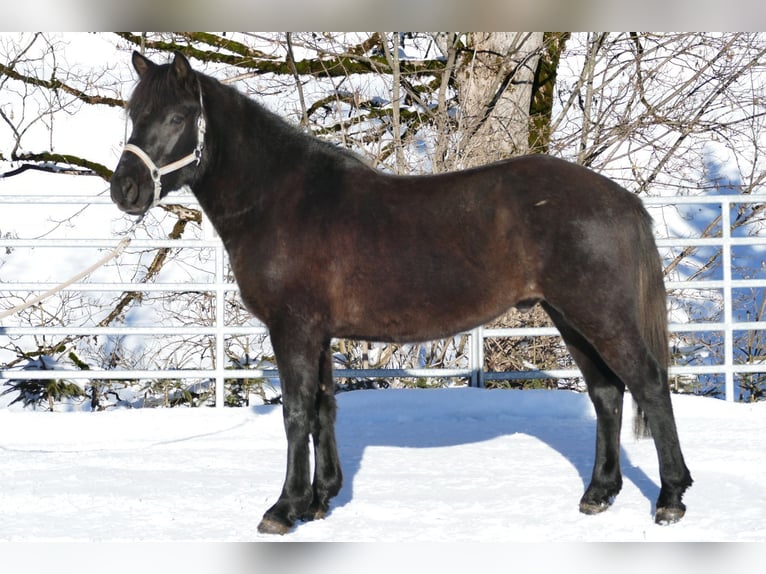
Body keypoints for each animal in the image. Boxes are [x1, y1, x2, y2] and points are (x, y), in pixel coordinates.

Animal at [109, 51, 696, 536]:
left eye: (178, 118)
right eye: (133, 114)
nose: (125, 190)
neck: (280, 199)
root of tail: (621, 199)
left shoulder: (292, 329)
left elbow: (296, 413)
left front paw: (284, 508)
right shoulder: (319, 334)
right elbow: (324, 407)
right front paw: (320, 500)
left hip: (600, 314)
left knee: (647, 385)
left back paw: (670, 498)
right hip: (570, 316)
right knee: (606, 394)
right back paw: (599, 493)